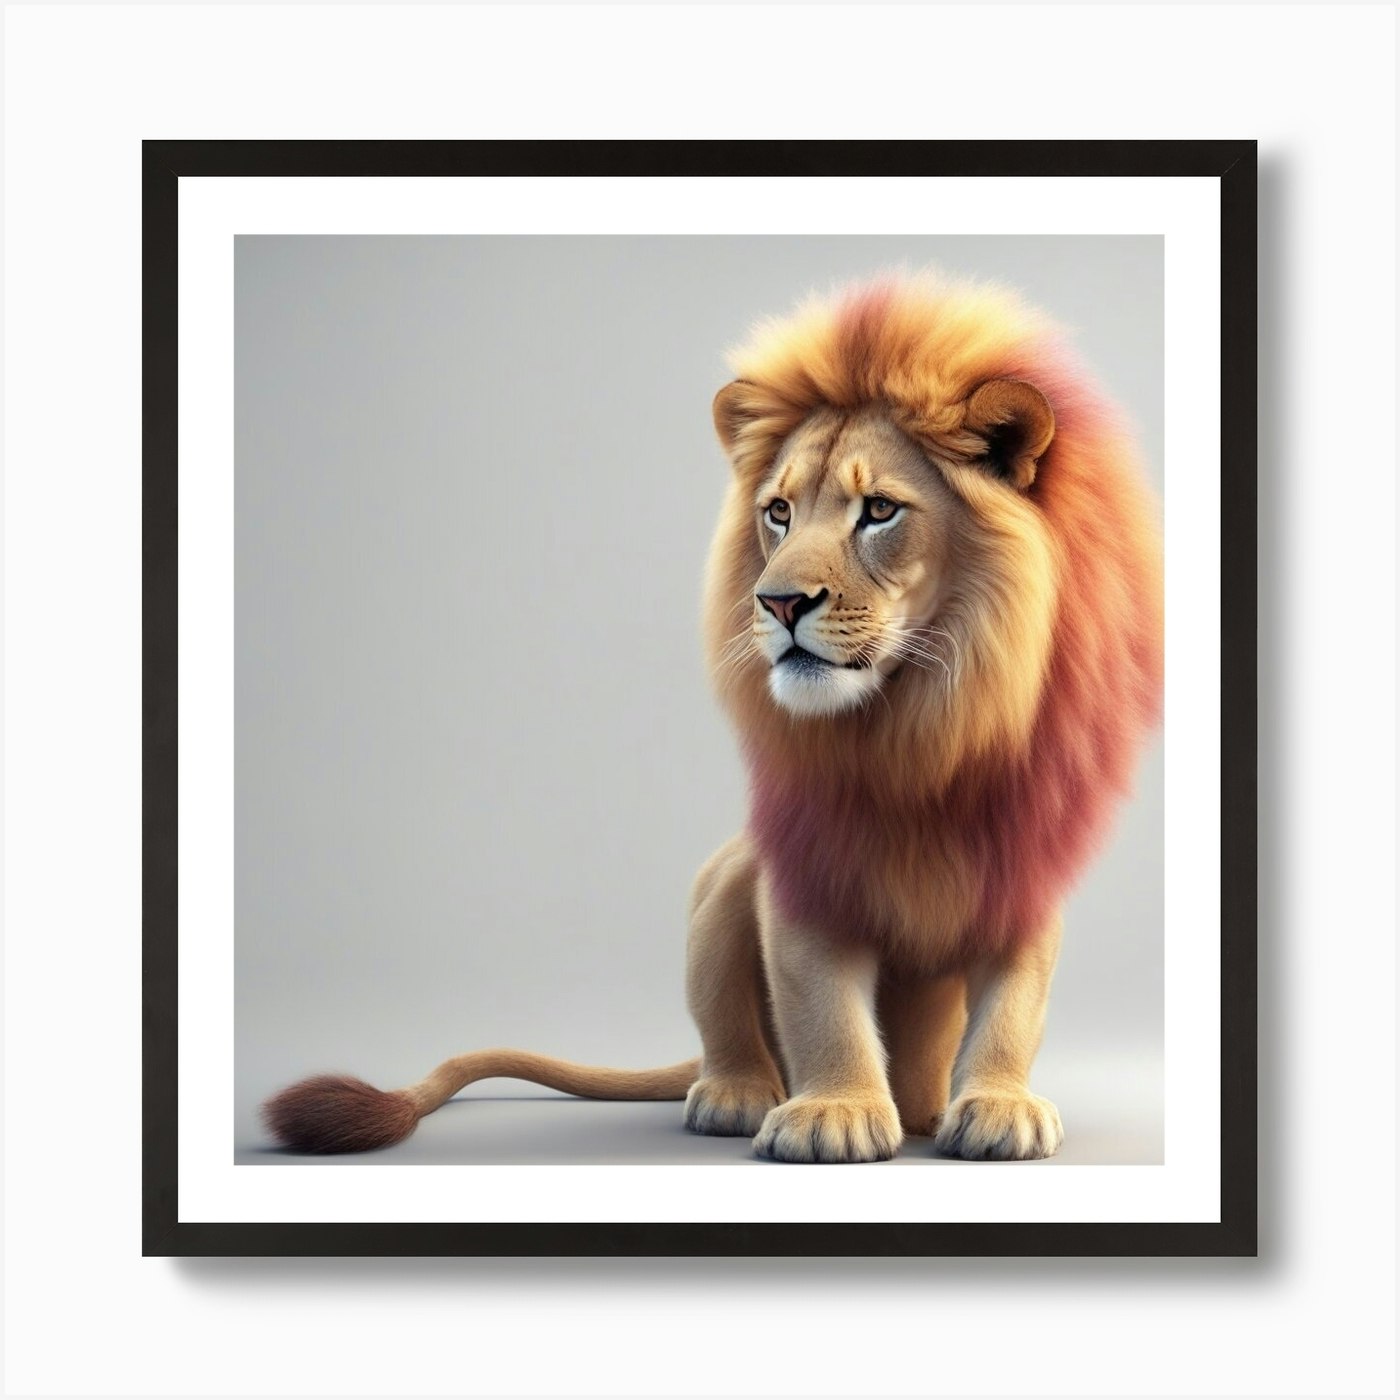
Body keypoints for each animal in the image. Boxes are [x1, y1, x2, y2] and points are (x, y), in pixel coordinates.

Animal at [263, 272, 1163, 1164]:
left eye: (878, 510)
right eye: (779, 512)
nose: (779, 602)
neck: (911, 729)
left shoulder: (1025, 875)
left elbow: (1014, 1008)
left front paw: (1000, 1106)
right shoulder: (798, 873)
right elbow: (820, 1003)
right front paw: (832, 1113)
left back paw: (926, 1106)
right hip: (725, 879)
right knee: (727, 1024)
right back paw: (738, 1093)